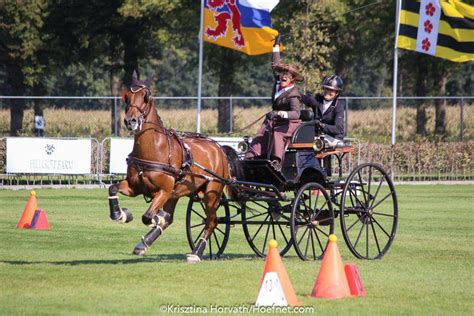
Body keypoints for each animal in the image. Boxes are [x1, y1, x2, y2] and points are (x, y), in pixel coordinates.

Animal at [109, 73, 231, 262]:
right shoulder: (134, 186)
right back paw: (143, 244)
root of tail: (218, 148)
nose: (131, 121)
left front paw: (155, 219)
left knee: (212, 221)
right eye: (126, 96)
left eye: (146, 96)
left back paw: (196, 252)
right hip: (179, 192)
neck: (154, 150)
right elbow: (113, 188)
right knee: (173, 217)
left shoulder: (164, 191)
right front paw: (121, 214)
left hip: (212, 192)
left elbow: (147, 217)